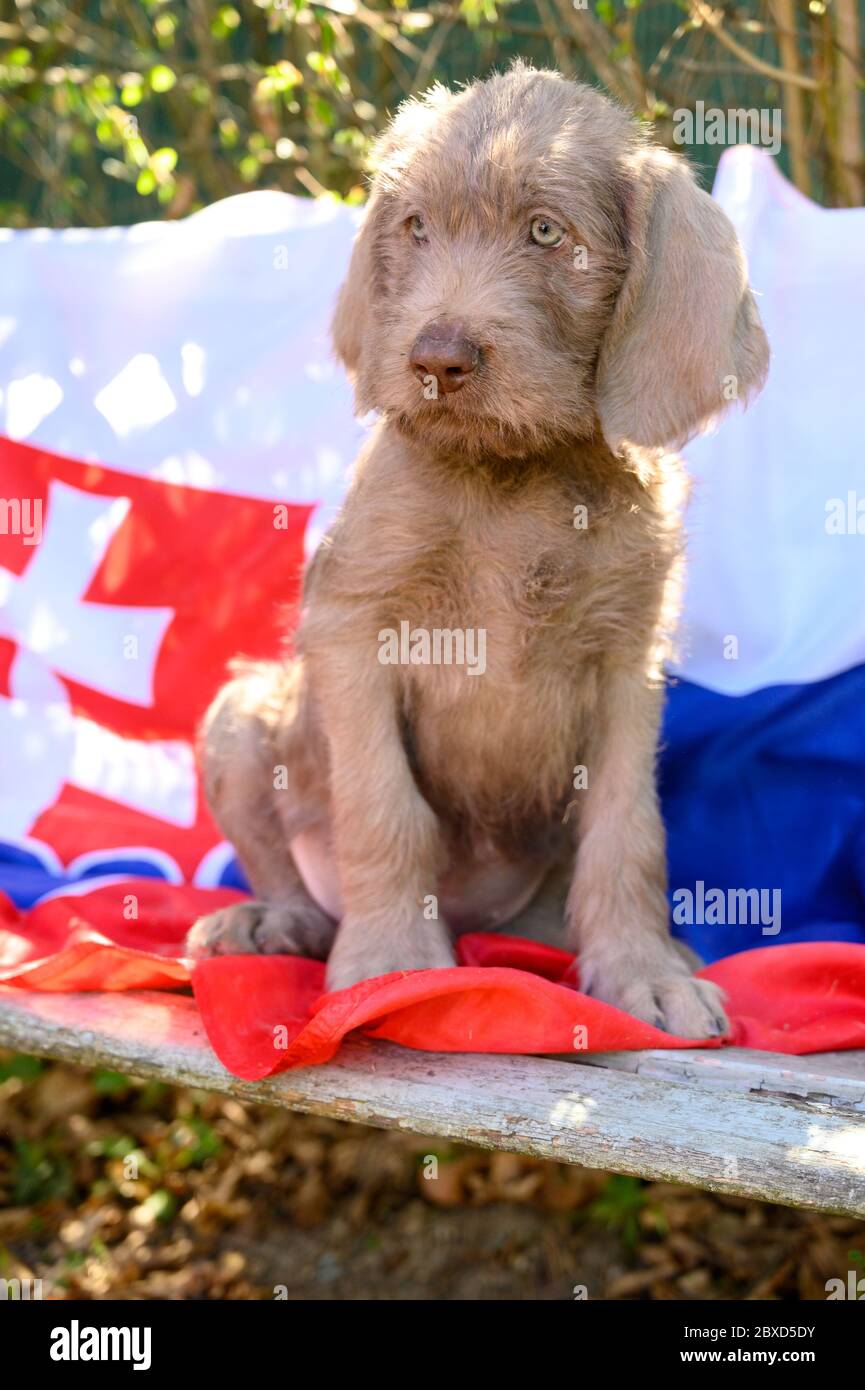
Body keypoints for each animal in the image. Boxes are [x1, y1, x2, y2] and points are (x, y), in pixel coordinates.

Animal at [189, 67, 773, 1045]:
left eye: (545, 232)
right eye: (416, 227)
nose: (436, 360)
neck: (514, 474)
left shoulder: (629, 660)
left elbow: (628, 829)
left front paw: (641, 969)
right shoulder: (354, 624)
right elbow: (384, 809)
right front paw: (390, 962)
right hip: (238, 717)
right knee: (282, 857)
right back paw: (276, 919)